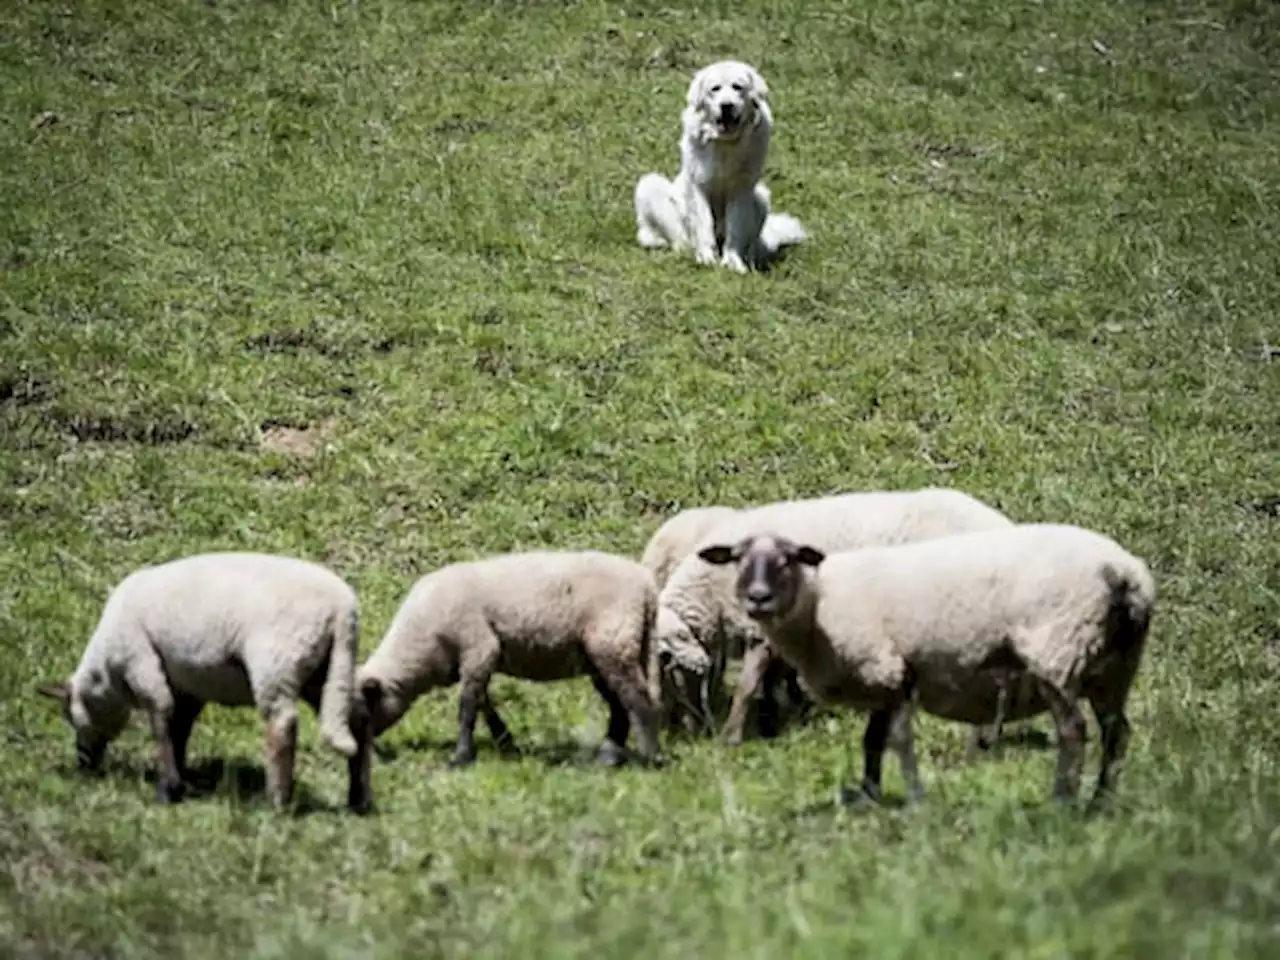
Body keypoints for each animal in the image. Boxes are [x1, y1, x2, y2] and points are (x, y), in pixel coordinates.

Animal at [358, 552, 660, 773]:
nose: (369, 752)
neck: (422, 644)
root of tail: (647, 585)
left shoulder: (479, 646)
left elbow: (467, 707)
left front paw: (461, 758)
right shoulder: (475, 660)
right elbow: (484, 703)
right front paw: (506, 744)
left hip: (614, 640)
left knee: (638, 700)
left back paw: (649, 759)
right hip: (601, 653)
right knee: (620, 705)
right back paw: (609, 757)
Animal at [634, 59, 803, 272]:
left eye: (737, 87)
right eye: (715, 89)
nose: (726, 105)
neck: (726, 142)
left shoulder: (741, 189)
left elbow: (735, 229)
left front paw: (733, 262)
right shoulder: (699, 187)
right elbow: (704, 225)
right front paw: (706, 258)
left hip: (761, 197)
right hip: (650, 185)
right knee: (679, 240)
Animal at [655, 488, 1024, 742]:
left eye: (669, 665)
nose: (687, 730)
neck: (711, 592)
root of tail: (1000, 524)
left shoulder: (760, 632)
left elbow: (749, 685)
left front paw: (731, 736)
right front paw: (777, 719)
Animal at [701, 522, 1162, 808]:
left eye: (788, 559)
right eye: (737, 559)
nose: (757, 598)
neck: (819, 606)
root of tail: (1124, 574)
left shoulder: (891, 669)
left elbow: (898, 741)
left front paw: (914, 799)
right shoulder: (882, 679)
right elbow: (871, 742)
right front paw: (870, 795)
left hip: (1057, 651)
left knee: (1073, 732)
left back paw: (1062, 802)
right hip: (1115, 666)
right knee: (1117, 733)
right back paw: (1102, 802)